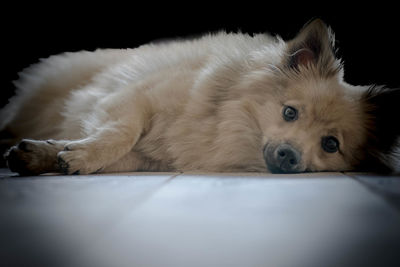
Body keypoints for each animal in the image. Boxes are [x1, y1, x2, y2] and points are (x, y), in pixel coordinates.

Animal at [0, 20, 400, 176]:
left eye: (330, 144)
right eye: (289, 113)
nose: (289, 155)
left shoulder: (149, 159)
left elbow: (112, 156)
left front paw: (48, 156)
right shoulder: (134, 98)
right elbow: (119, 134)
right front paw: (79, 154)